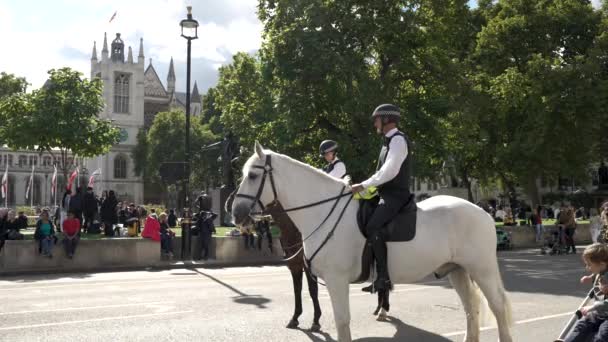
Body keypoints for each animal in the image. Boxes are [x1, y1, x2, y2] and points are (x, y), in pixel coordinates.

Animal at [233, 142, 512, 342]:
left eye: (253, 175)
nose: (235, 213)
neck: (321, 212)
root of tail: (482, 212)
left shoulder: (336, 280)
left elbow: (342, 323)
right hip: (458, 270)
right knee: (471, 308)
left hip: (482, 269)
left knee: (497, 307)